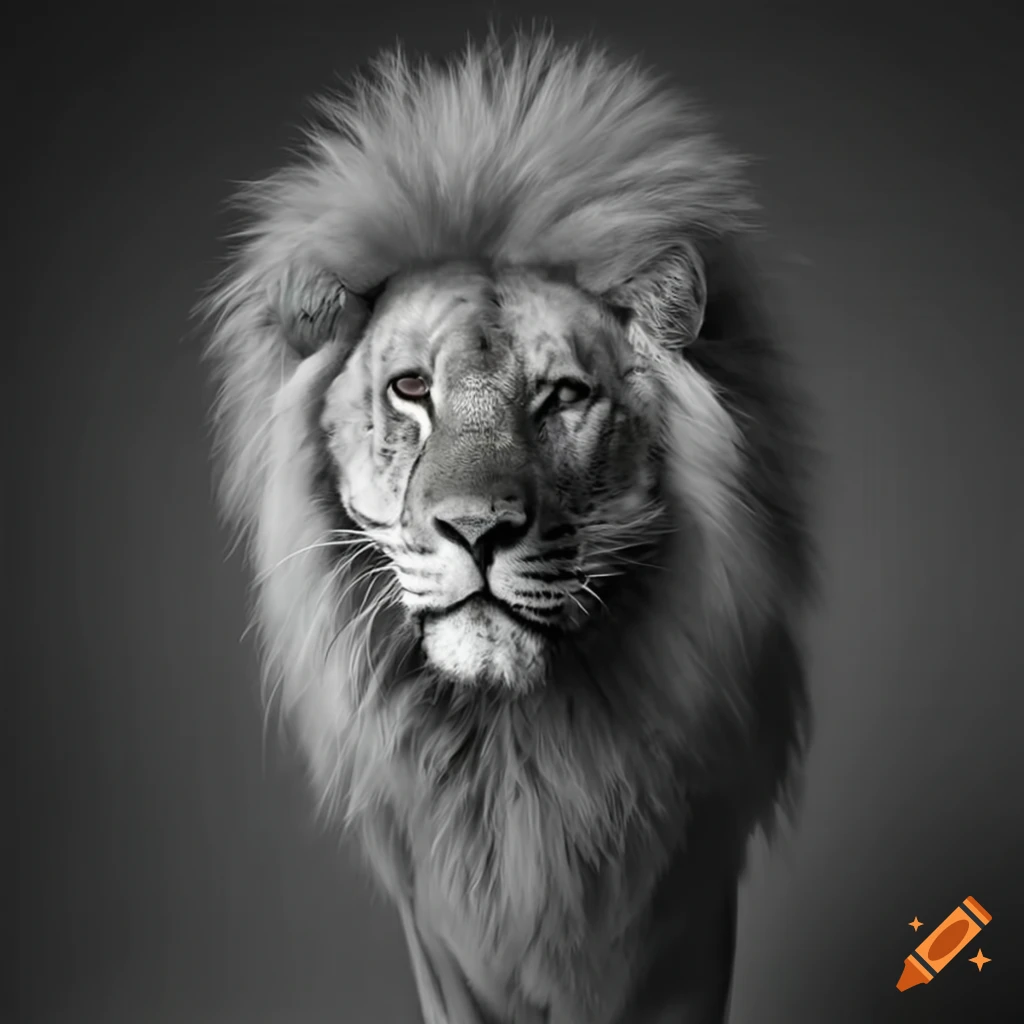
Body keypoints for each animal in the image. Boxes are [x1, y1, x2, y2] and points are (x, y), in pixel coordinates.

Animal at [202, 31, 814, 1024]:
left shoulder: (685, 911)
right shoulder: (444, 940)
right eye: (413, 389)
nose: (476, 532)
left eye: (562, 395)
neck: (513, 751)